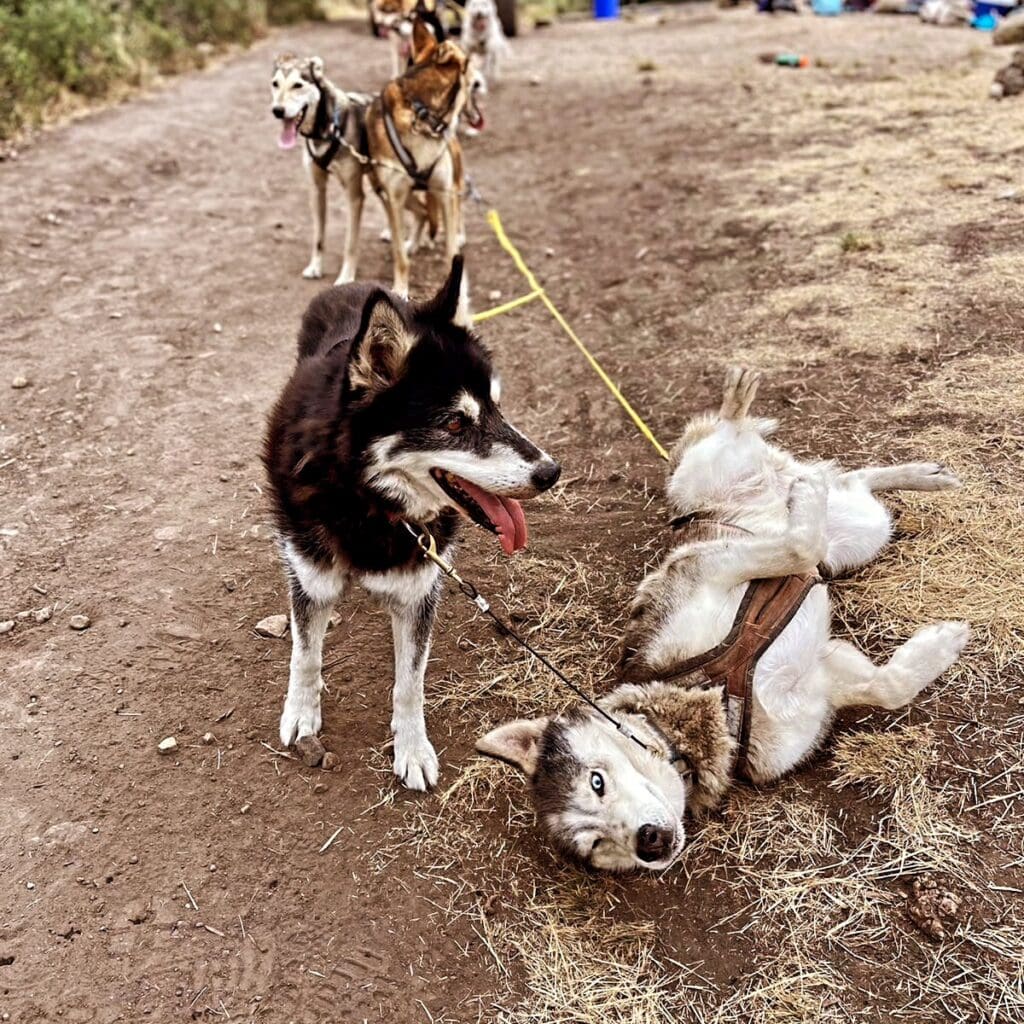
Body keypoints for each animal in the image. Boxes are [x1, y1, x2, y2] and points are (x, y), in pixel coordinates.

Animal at [264, 258, 561, 790]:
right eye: (456, 423)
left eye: (498, 406)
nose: (551, 473)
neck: (367, 502)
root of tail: (359, 283)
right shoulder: (312, 577)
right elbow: (305, 652)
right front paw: (301, 710)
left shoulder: (418, 588)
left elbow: (410, 682)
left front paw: (412, 748)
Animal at [479, 368, 966, 872]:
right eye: (598, 845)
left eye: (597, 782)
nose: (649, 843)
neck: (710, 695)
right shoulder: (824, 677)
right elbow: (889, 687)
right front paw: (940, 646)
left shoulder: (708, 566)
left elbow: (798, 548)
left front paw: (945, 640)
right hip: (861, 533)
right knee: (851, 481)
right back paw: (917, 476)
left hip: (707, 481)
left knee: (759, 453)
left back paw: (748, 411)